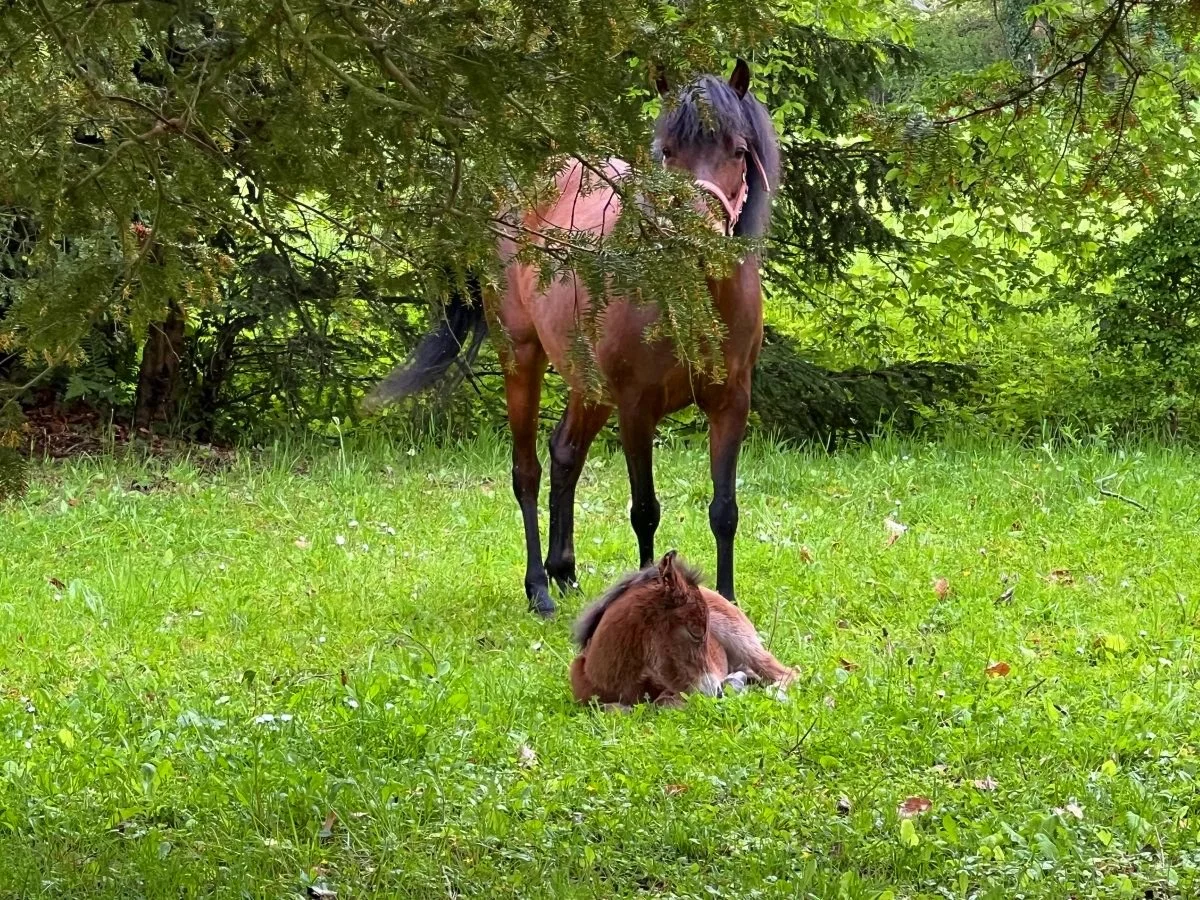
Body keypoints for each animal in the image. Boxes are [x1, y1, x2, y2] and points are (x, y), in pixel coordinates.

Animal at [364, 60, 781, 616]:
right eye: (666, 151)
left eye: (738, 150)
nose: (692, 235)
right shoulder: (636, 408)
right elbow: (645, 510)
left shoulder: (731, 402)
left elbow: (724, 510)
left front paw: (729, 604)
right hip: (522, 358)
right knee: (527, 471)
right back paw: (539, 588)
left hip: (589, 383)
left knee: (565, 453)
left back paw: (564, 572)